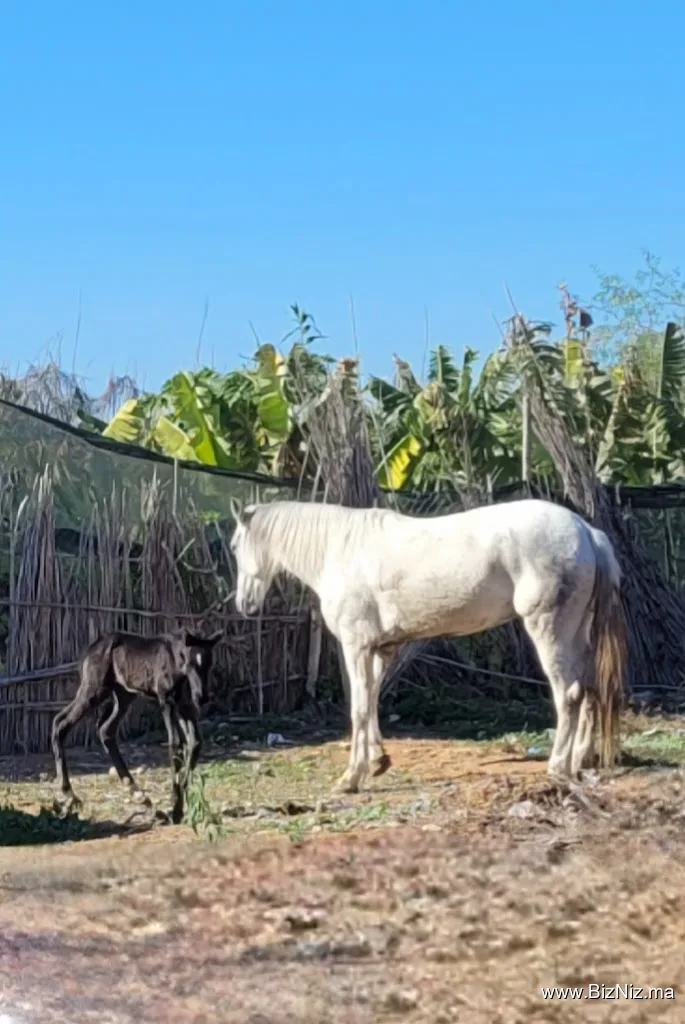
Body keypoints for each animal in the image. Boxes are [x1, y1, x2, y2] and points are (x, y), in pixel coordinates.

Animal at [52, 628, 222, 823]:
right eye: (190, 663)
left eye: (209, 664)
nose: (202, 696)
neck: (176, 664)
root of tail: (89, 650)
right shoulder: (166, 701)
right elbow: (175, 745)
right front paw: (176, 809)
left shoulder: (185, 706)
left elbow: (195, 743)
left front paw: (181, 805)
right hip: (94, 690)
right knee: (61, 723)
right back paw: (69, 793)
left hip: (123, 695)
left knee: (104, 730)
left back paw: (140, 796)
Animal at [228, 496, 627, 794]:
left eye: (234, 546)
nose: (244, 604)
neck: (340, 549)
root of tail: (586, 531)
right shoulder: (381, 649)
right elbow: (372, 701)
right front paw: (377, 762)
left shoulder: (357, 647)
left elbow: (358, 708)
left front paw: (350, 778)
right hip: (578, 632)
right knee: (589, 690)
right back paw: (578, 761)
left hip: (549, 629)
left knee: (568, 694)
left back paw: (558, 766)